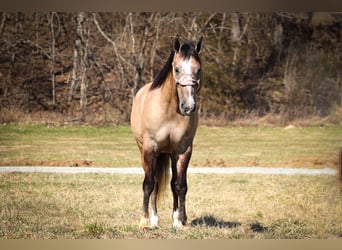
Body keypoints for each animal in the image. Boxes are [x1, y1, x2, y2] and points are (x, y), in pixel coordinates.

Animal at [130, 35, 202, 230]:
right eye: (176, 69)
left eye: (198, 70)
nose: (188, 107)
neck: (169, 111)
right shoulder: (150, 149)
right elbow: (149, 183)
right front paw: (144, 221)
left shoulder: (183, 151)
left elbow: (180, 185)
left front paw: (180, 221)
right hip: (144, 151)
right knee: (154, 181)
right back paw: (154, 220)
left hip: (170, 154)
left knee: (171, 183)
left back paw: (174, 219)